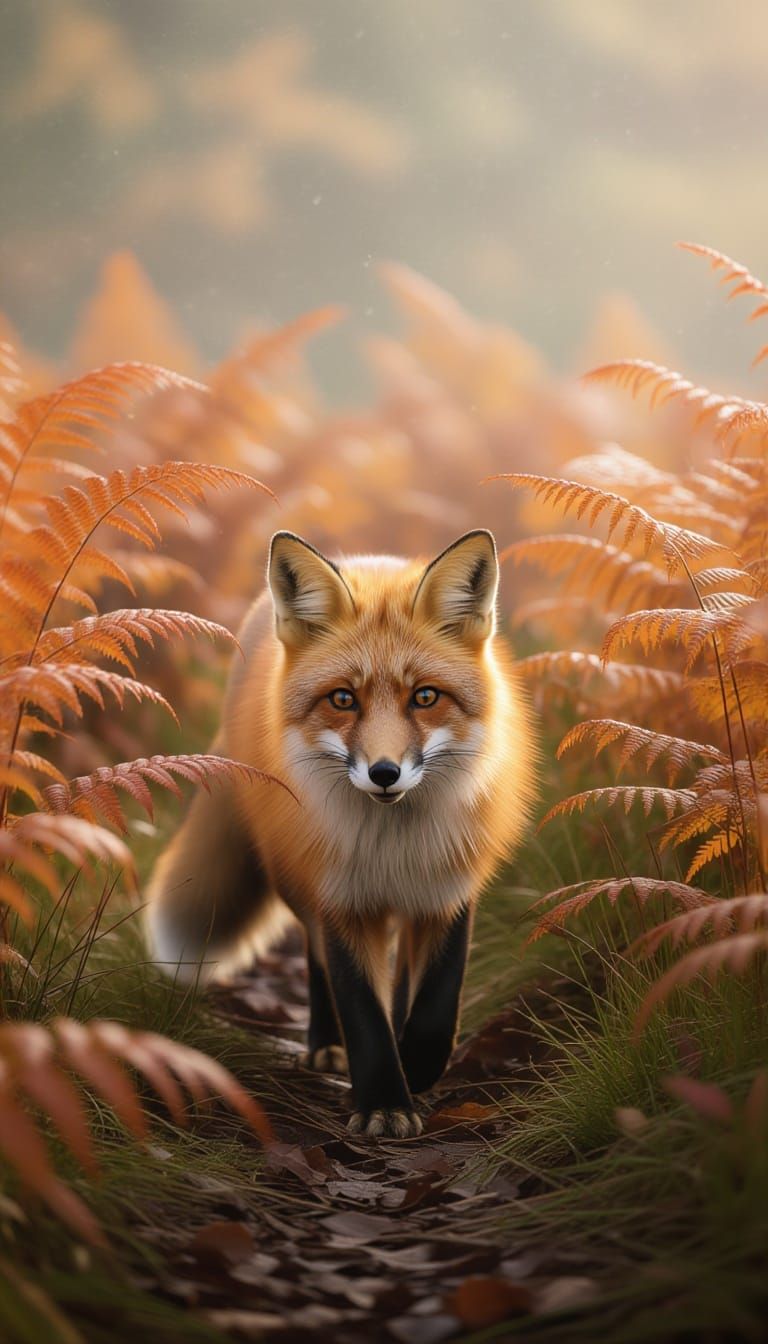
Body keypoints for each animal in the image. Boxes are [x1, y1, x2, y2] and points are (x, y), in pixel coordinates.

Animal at [146, 528, 536, 1138]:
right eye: (343, 699)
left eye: (425, 697)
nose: (384, 773)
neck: (392, 847)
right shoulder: (341, 897)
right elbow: (361, 1010)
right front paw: (383, 1101)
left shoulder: (447, 892)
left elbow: (435, 1007)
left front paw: (416, 1068)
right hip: (296, 881)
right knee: (315, 958)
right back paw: (325, 1043)